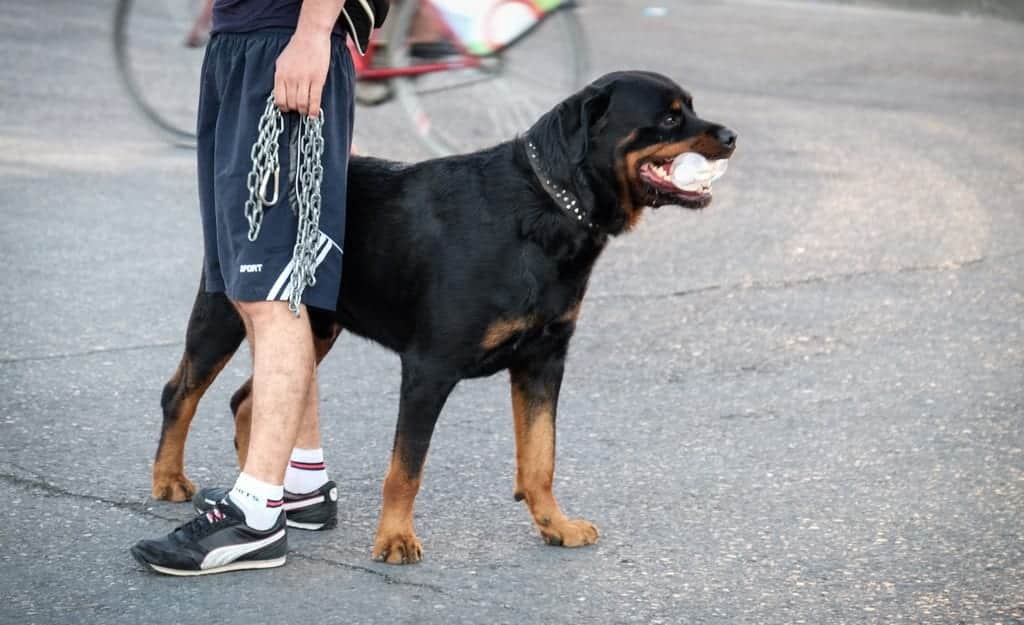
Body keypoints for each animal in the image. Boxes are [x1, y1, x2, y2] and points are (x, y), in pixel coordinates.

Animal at [151, 70, 737, 561]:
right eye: (669, 118)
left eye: (690, 107)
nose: (731, 136)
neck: (546, 210)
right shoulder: (429, 368)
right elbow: (405, 469)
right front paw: (394, 538)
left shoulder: (543, 361)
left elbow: (540, 457)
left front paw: (555, 524)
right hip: (230, 308)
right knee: (182, 391)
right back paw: (169, 478)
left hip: (316, 327)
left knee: (248, 399)